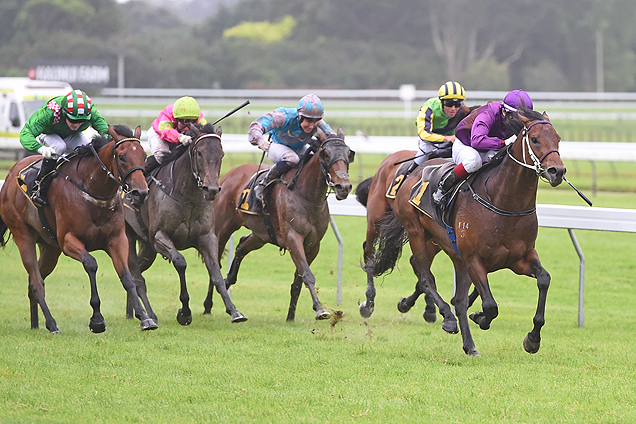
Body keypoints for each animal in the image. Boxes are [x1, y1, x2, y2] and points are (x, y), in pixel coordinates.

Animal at [0, 126, 156, 334]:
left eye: (143, 155)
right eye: (122, 157)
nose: (141, 192)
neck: (93, 191)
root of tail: (10, 176)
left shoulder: (117, 239)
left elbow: (127, 277)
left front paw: (145, 318)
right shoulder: (68, 240)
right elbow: (91, 264)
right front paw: (97, 320)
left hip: (50, 249)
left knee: (34, 280)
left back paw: (35, 323)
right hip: (23, 236)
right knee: (37, 282)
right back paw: (52, 324)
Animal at [123, 124, 247, 326]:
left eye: (221, 154)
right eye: (199, 153)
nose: (212, 189)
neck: (188, 197)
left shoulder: (207, 237)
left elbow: (216, 272)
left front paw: (234, 311)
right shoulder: (159, 236)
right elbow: (180, 262)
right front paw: (185, 312)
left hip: (148, 248)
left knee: (138, 271)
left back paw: (133, 312)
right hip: (128, 237)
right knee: (134, 274)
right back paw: (147, 315)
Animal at [212, 129, 352, 322]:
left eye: (349, 153)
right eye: (325, 154)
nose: (343, 187)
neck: (307, 196)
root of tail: (227, 175)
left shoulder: (313, 245)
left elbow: (298, 280)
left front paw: (290, 317)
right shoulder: (293, 238)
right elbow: (307, 275)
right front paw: (320, 309)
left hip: (261, 234)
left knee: (241, 246)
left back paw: (229, 281)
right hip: (223, 228)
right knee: (215, 263)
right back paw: (210, 306)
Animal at [358, 110, 568, 358]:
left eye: (558, 138)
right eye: (534, 139)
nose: (557, 171)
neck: (503, 201)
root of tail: (412, 174)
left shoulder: (520, 258)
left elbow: (544, 279)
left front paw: (532, 339)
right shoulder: (473, 259)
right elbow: (489, 305)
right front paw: (480, 317)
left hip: (440, 244)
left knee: (441, 286)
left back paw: (467, 343)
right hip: (407, 227)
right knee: (414, 271)